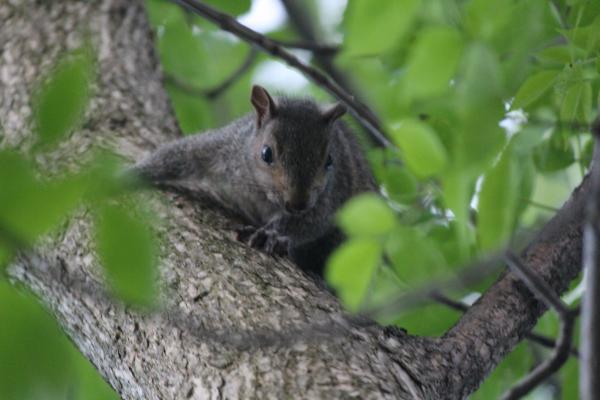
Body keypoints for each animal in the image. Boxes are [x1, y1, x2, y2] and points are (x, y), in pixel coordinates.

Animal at [129, 85, 376, 275]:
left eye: (330, 161)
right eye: (266, 153)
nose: (298, 203)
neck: (262, 194)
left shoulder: (329, 195)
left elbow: (312, 221)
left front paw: (272, 234)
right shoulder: (225, 148)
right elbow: (181, 154)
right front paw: (131, 175)